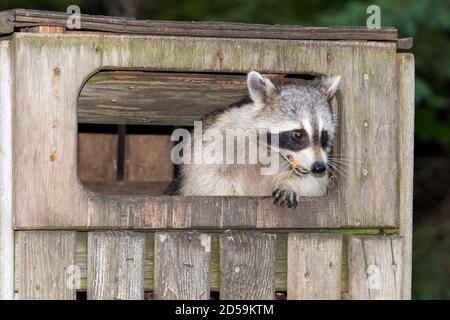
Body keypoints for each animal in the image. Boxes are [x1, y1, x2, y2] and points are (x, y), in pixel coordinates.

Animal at [170, 71, 342, 209]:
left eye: (323, 135)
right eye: (298, 134)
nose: (319, 167)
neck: (271, 151)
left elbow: (313, 183)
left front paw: (290, 185)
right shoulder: (220, 138)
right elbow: (207, 176)